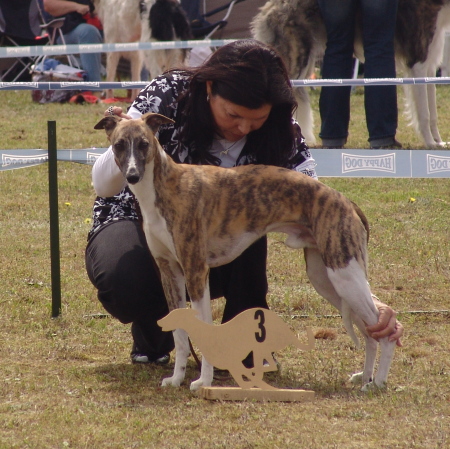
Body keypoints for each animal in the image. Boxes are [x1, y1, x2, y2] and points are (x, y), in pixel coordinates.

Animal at [95, 113, 398, 392]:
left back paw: (379, 382)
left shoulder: (196, 272)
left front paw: (203, 381)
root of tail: (344, 200)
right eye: (118, 145)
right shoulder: (170, 273)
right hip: (326, 279)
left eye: (144, 144)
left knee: (383, 332)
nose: (132, 175)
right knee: (369, 333)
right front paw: (177, 379)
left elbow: (203, 329)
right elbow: (181, 336)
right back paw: (364, 378)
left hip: (344, 274)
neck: (167, 187)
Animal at [251, 0, 450, 145]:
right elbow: (424, 114)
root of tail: (269, 8)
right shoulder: (417, 62)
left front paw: (439, 142)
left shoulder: (429, 67)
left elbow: (432, 113)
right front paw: (430, 144)